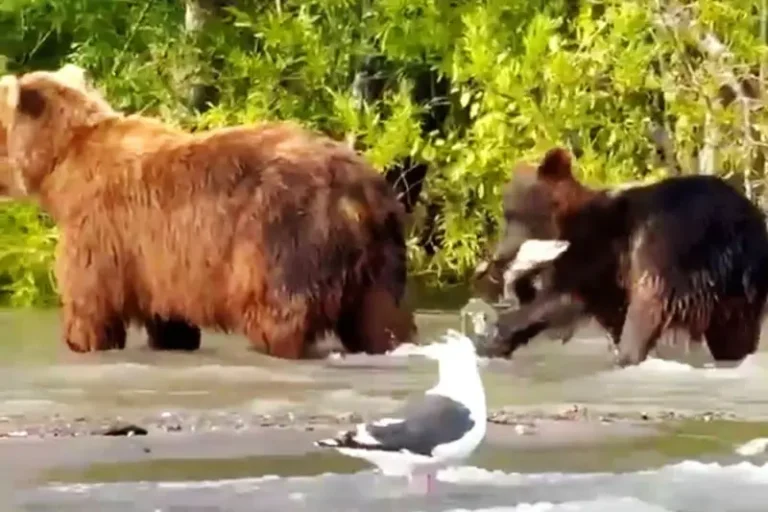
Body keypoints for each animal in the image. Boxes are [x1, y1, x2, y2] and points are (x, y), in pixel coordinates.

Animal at [0, 64, 416, 359]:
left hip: (284, 235)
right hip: (381, 256)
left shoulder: (99, 227)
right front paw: (174, 336)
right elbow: (166, 310)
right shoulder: (159, 258)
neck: (58, 166)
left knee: (277, 307)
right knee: (382, 318)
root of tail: (361, 190)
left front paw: (81, 339)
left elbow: (91, 296)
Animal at [471, 147, 768, 367]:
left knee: (647, 309)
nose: (499, 255)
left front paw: (496, 334)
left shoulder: (597, 248)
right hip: (742, 286)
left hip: (670, 251)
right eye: (507, 213)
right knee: (735, 331)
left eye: (516, 214)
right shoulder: (608, 280)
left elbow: (560, 298)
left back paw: (629, 355)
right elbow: (598, 309)